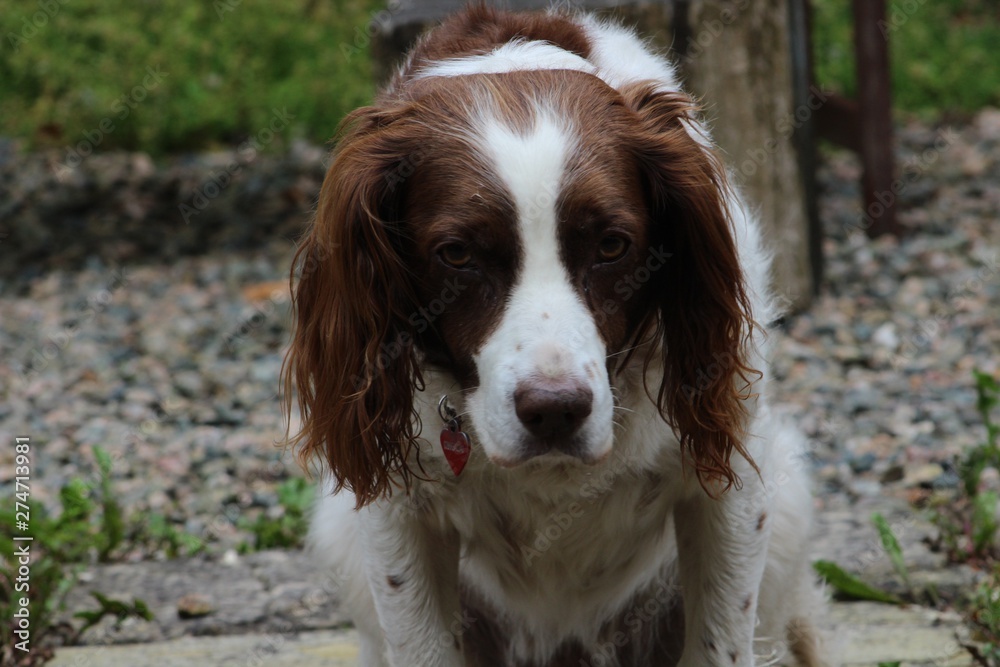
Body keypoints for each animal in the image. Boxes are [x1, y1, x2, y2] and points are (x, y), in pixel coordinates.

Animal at [284, 6, 828, 667]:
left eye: (613, 244)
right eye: (456, 254)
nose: (555, 412)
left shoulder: (728, 477)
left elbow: (719, 641)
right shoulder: (396, 507)